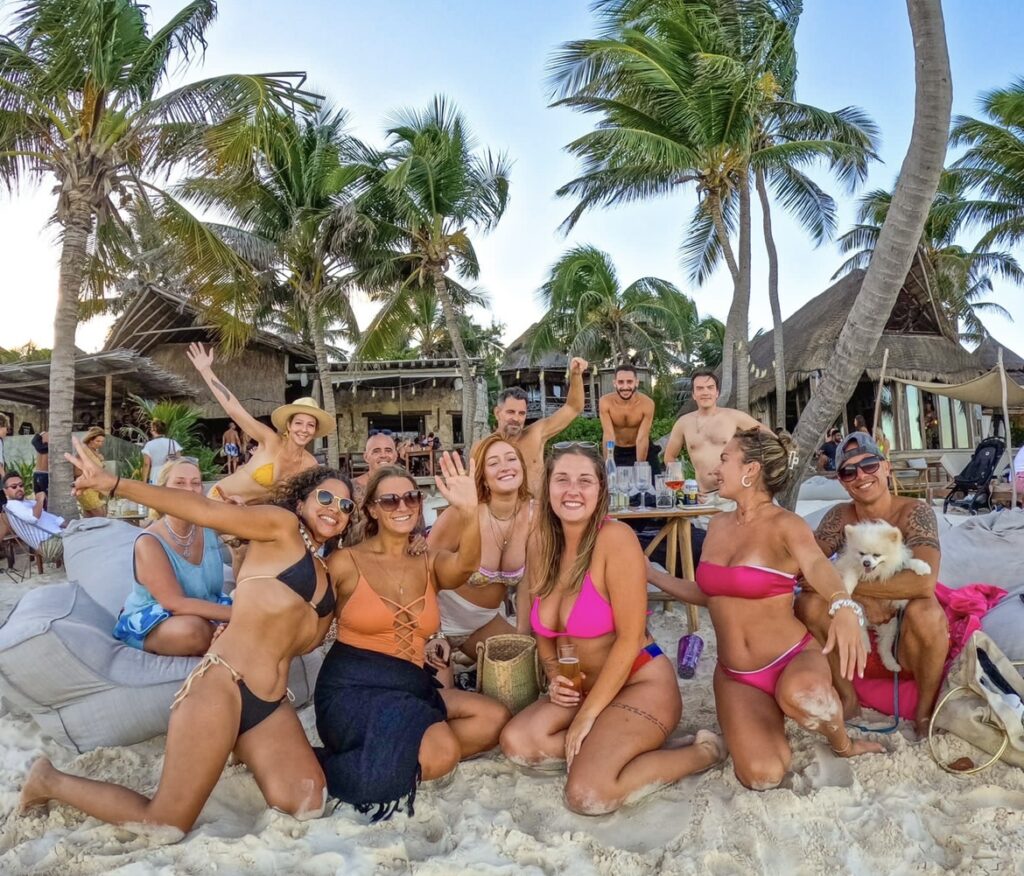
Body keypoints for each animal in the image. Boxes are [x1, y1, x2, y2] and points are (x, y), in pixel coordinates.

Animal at [835, 520, 933, 672]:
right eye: (861, 554)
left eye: (877, 555)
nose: (866, 563)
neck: (874, 574)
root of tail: (870, 624)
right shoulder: (850, 566)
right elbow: (850, 574)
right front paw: (847, 587)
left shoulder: (897, 570)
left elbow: (908, 563)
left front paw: (922, 567)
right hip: (858, 615)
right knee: (861, 633)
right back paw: (866, 646)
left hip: (890, 626)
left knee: (883, 647)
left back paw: (891, 664)